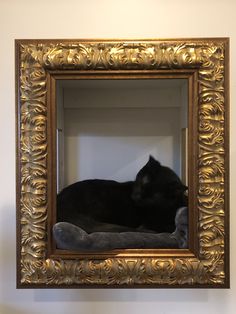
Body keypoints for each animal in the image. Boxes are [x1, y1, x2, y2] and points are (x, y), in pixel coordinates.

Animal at [56, 156, 187, 233]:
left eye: (153, 196)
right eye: (141, 183)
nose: (136, 196)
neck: (167, 209)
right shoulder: (151, 222)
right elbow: (164, 226)